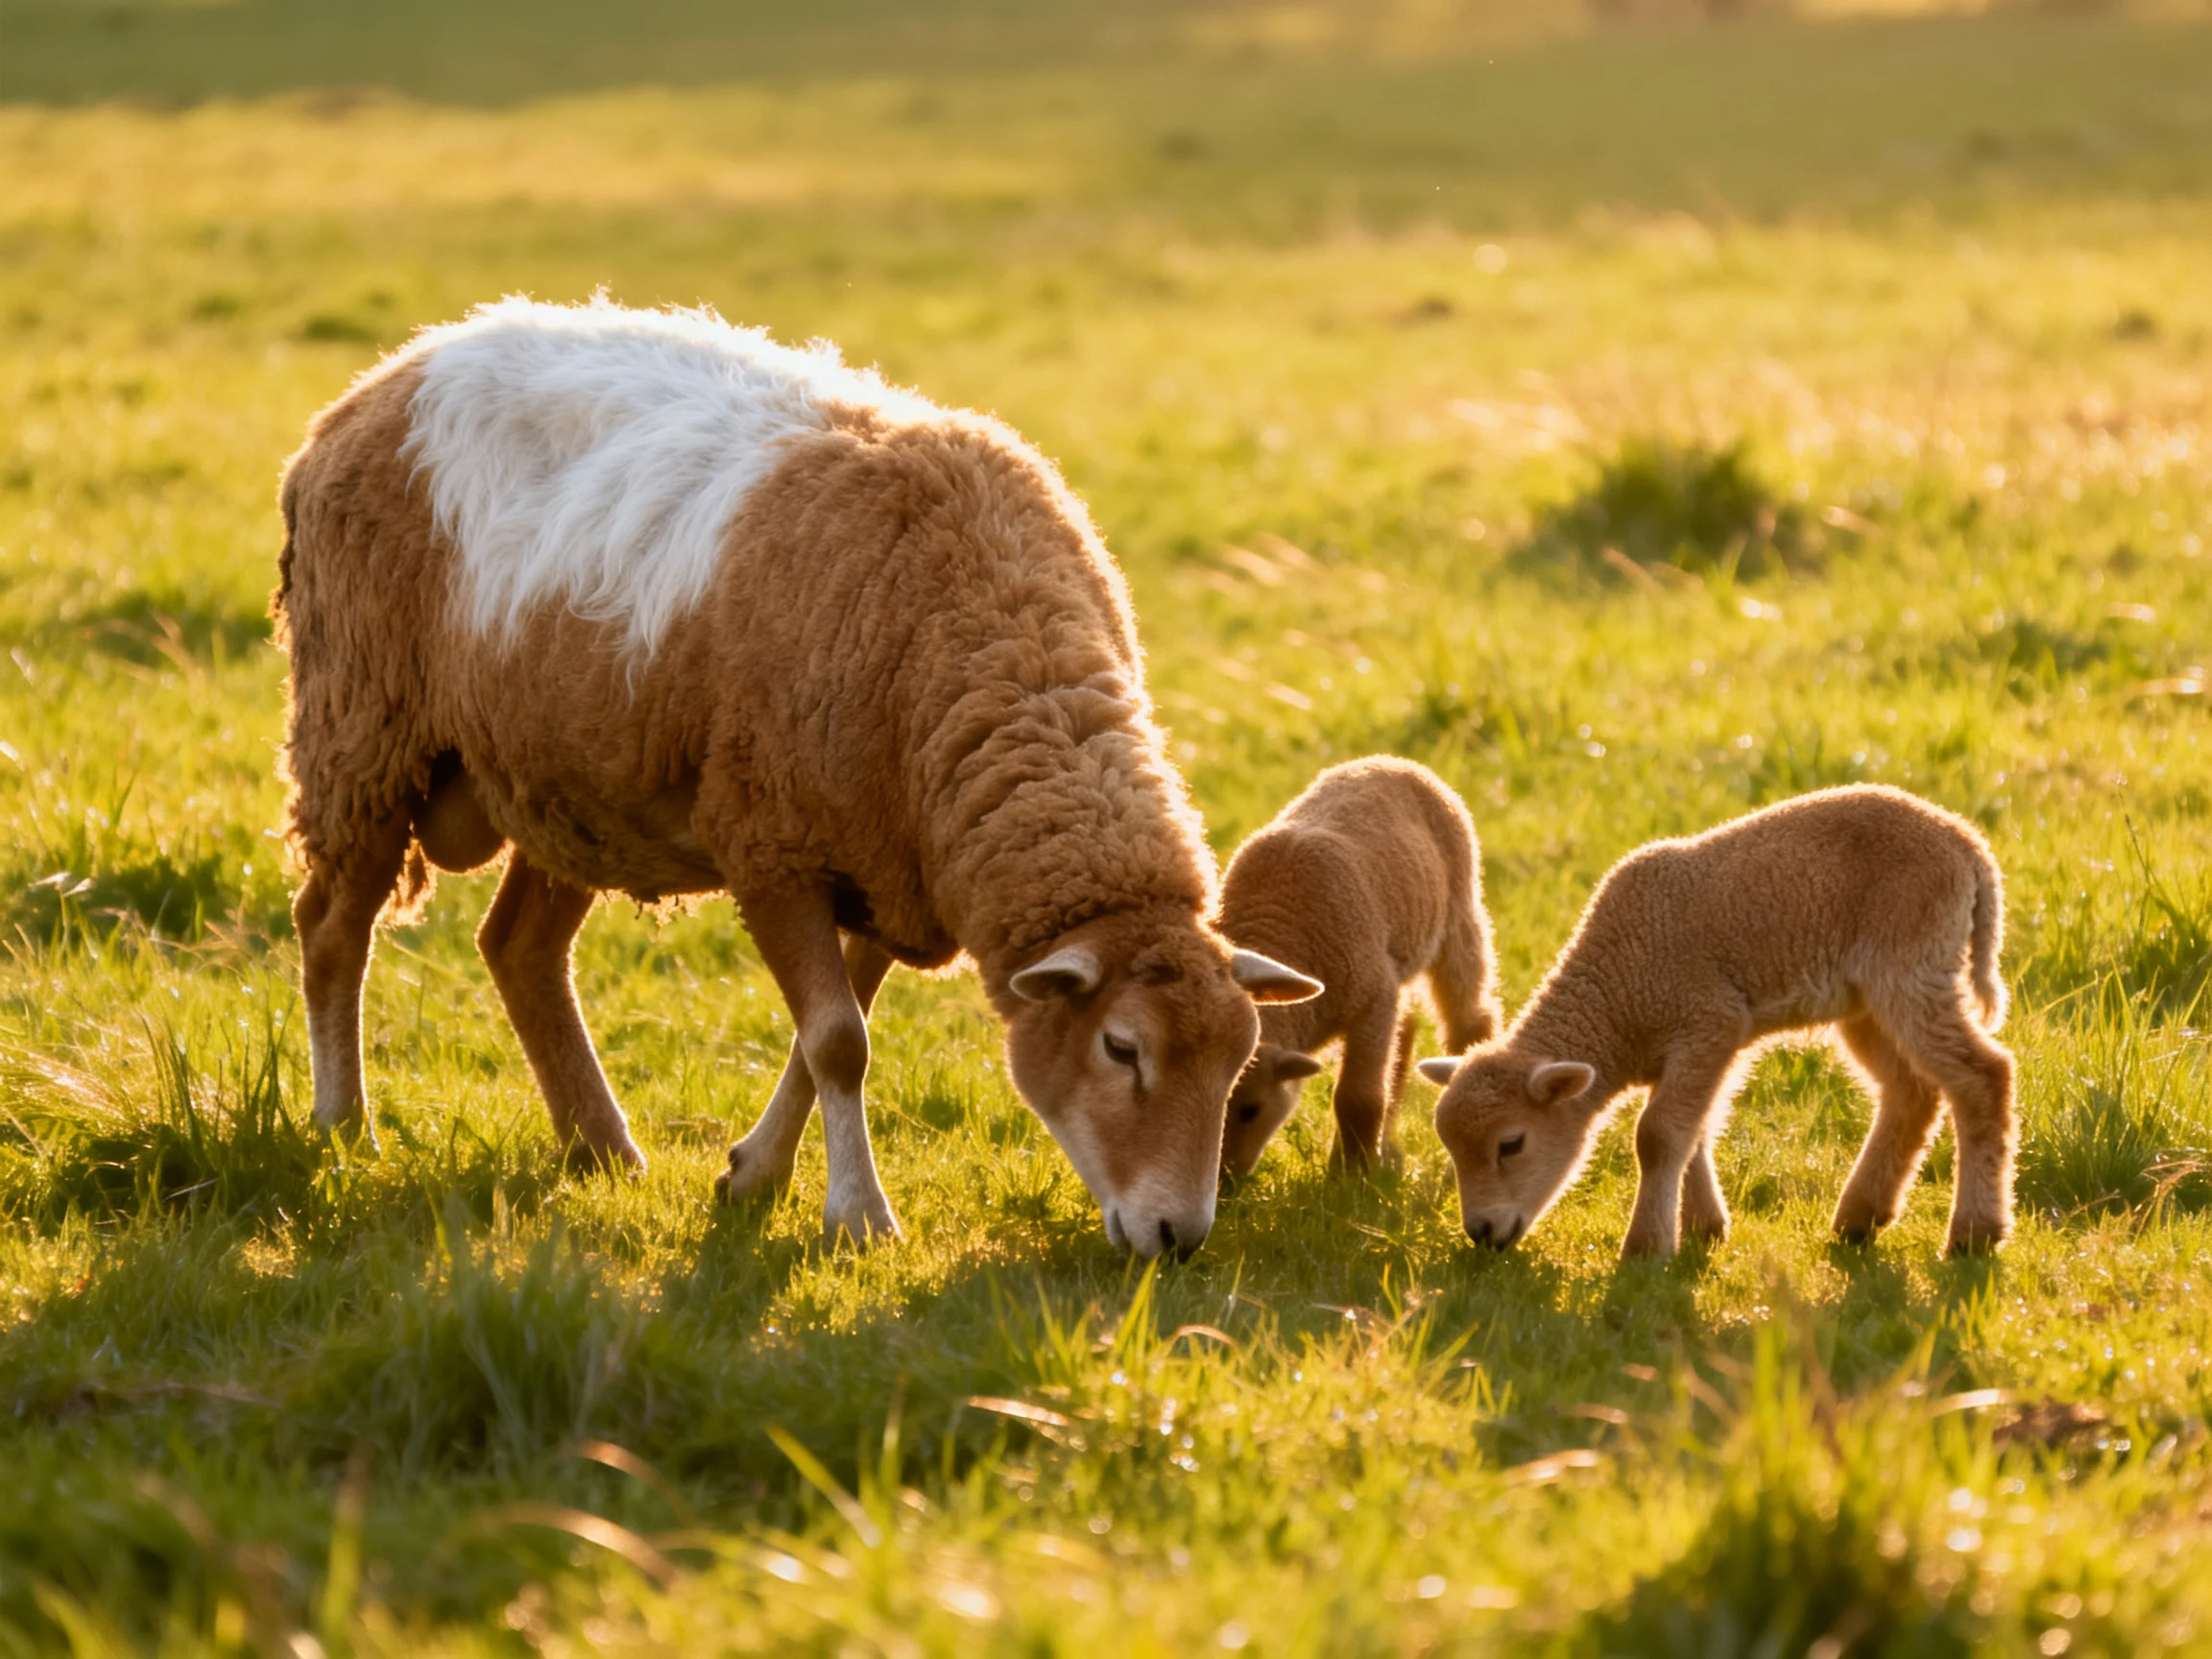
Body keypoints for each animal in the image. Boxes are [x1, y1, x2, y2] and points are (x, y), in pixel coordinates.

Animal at [274, 295, 1320, 1256]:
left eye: (1238, 1064)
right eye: (1121, 1048)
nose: (1178, 1236)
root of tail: (389, 375)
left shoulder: (886, 867)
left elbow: (826, 1034)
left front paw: (754, 1177)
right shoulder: (772, 844)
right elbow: (839, 1042)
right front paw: (858, 1217)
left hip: (568, 782)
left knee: (518, 948)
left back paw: (600, 1147)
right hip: (363, 727)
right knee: (332, 928)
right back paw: (345, 1127)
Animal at [1214, 757, 1501, 1176]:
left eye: (1250, 1110)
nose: (1224, 1181)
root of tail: (1389, 761)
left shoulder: (1371, 998)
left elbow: (1357, 1098)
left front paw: (1352, 1176)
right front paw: (1358, 1164)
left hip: (1459, 916)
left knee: (1469, 1015)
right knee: (1406, 1030)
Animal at [1418, 785, 2014, 1259]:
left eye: (1511, 1144)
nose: (1480, 1232)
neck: (1619, 999)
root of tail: (1968, 845)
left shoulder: (1708, 1021)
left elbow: (1657, 1135)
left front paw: (1646, 1249)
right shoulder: (1695, 1046)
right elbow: (1692, 1131)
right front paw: (1704, 1228)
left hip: (1912, 964)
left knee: (1982, 1076)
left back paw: (1974, 1232)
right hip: (1866, 999)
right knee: (1912, 1091)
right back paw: (1861, 1219)